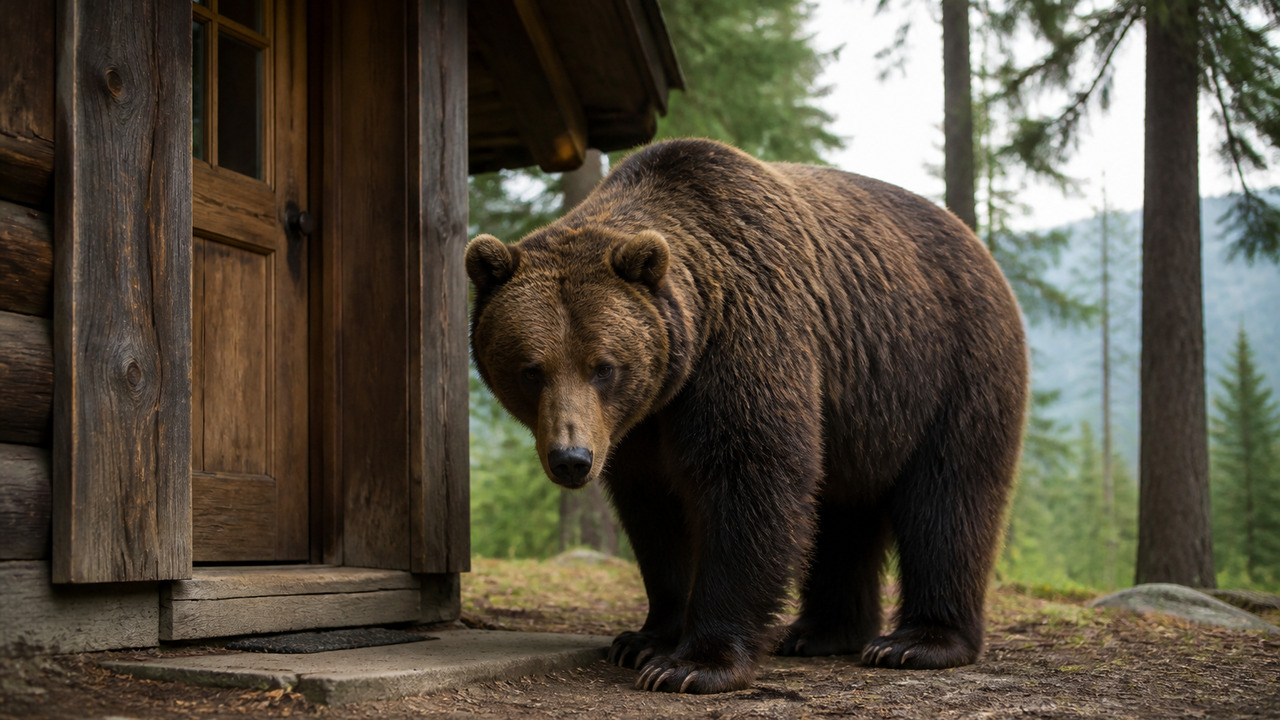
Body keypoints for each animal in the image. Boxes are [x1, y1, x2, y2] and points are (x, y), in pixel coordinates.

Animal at [465, 138, 1028, 694]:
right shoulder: (638, 426)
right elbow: (653, 512)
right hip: (860, 415)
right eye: (531, 369)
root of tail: (977, 243)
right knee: (841, 512)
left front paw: (693, 663)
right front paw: (644, 639)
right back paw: (820, 632)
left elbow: (750, 478)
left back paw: (915, 642)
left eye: (603, 366)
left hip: (945, 367)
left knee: (949, 497)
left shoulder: (745, 333)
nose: (572, 458)